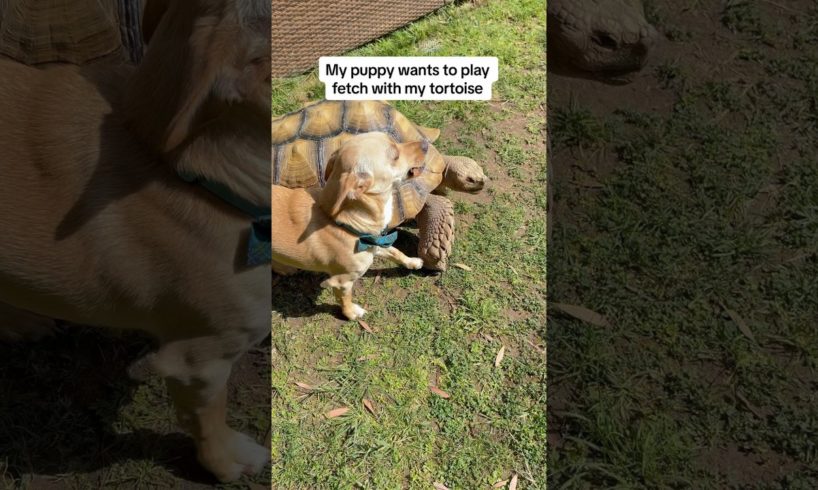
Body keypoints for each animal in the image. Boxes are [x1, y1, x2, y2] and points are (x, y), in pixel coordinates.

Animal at [274, 132, 428, 320]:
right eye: (395, 156)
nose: (426, 144)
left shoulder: (376, 244)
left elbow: (396, 252)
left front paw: (411, 261)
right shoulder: (342, 281)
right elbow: (345, 299)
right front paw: (351, 313)